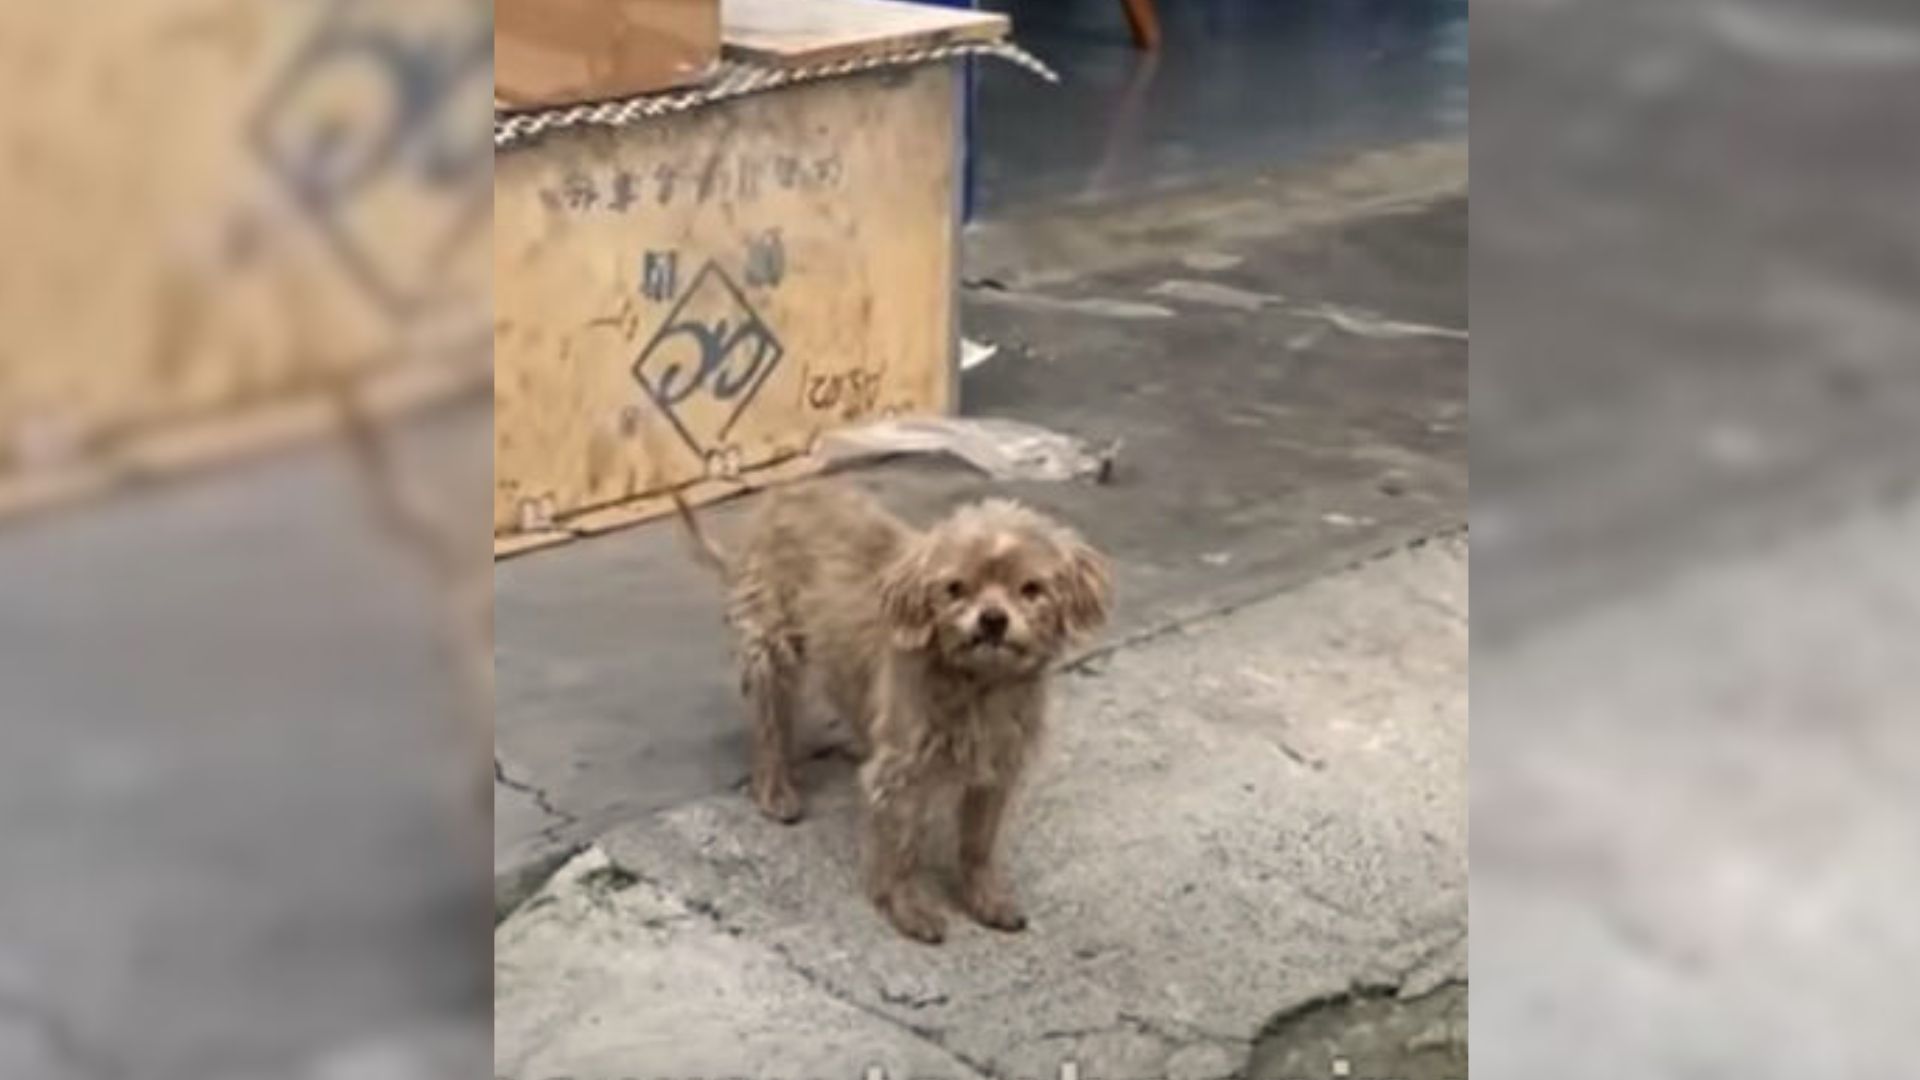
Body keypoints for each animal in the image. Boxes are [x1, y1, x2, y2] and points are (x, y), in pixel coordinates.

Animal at [683, 484, 1121, 937]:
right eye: (956, 588)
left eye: (1031, 588)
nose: (992, 619)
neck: (979, 685)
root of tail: (788, 490)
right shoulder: (904, 774)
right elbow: (902, 847)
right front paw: (906, 908)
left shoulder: (996, 769)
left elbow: (978, 846)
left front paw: (985, 900)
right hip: (772, 649)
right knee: (771, 725)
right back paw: (775, 789)